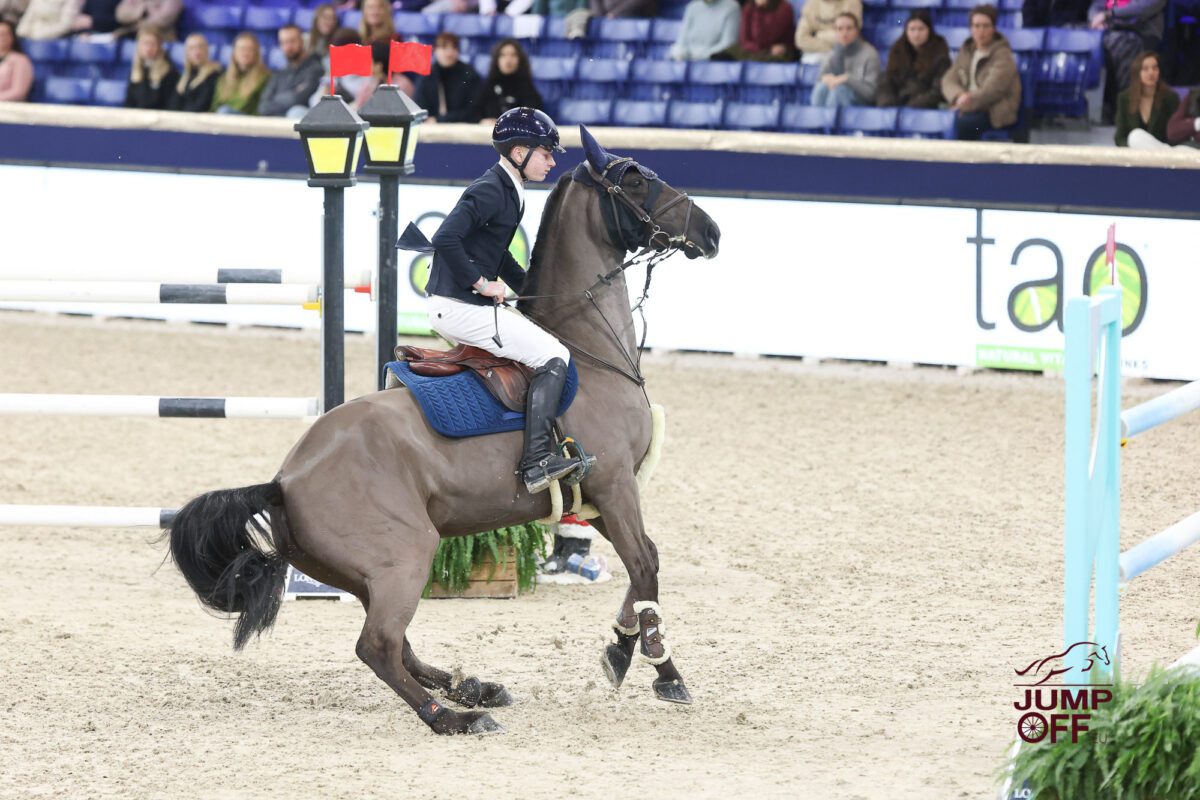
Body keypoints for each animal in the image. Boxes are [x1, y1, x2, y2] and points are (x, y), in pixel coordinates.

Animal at [166, 126, 722, 735]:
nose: (711, 231)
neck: (589, 350)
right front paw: (658, 667)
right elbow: (645, 565)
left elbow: (644, 564)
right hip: (405, 555)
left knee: (398, 644)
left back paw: (474, 687)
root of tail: (284, 480)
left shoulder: (594, 499)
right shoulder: (616, 485)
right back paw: (455, 716)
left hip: (365, 572)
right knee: (378, 646)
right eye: (636, 179)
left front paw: (623, 648)